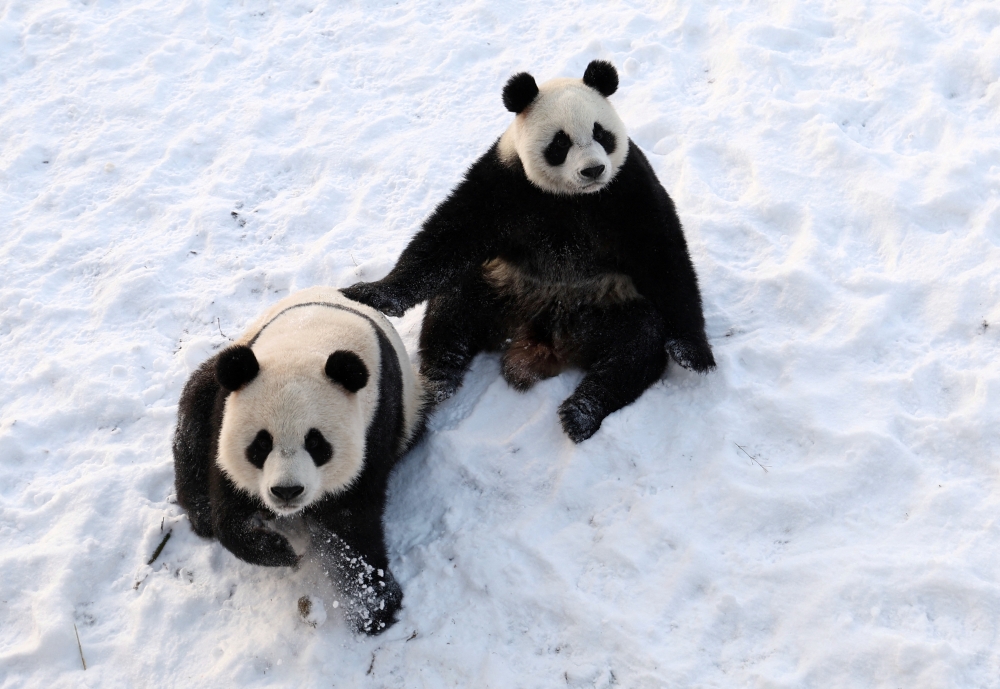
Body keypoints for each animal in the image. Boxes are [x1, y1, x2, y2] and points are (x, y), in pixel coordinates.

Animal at [172, 286, 426, 634]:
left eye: (316, 443)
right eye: (261, 444)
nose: (287, 491)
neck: (308, 341)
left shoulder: (375, 421)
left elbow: (351, 518)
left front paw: (374, 604)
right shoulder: (227, 408)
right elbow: (227, 493)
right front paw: (282, 551)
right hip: (217, 381)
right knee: (193, 413)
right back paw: (200, 512)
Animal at [342, 60, 715, 443]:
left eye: (601, 134)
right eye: (560, 142)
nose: (594, 169)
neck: (571, 197)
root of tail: (542, 335)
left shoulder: (627, 186)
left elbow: (664, 255)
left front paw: (693, 352)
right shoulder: (506, 182)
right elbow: (449, 237)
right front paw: (376, 294)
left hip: (606, 304)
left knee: (636, 345)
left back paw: (582, 411)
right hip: (500, 287)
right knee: (452, 309)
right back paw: (437, 381)